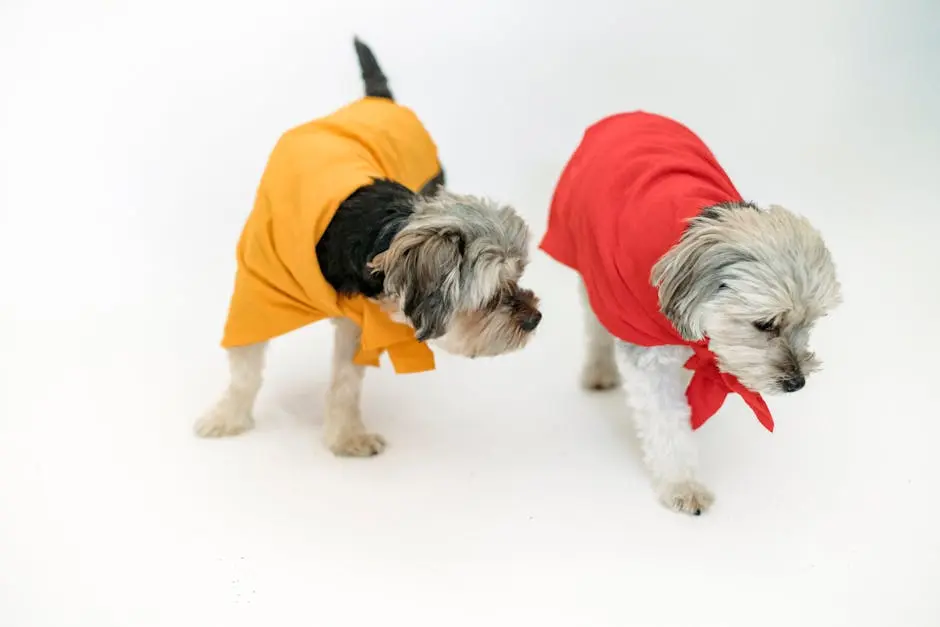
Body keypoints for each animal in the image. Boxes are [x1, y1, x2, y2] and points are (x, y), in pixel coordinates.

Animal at [195, 36, 540, 456]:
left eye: (518, 276)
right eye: (491, 295)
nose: (535, 318)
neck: (372, 229)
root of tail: (379, 99)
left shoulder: (360, 318)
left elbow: (346, 379)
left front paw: (346, 436)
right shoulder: (258, 288)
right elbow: (244, 366)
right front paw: (227, 418)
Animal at [540, 111, 840, 516]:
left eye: (809, 324)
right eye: (765, 324)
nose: (797, 382)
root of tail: (626, 115)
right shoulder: (645, 353)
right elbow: (667, 427)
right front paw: (683, 485)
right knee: (595, 325)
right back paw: (599, 370)